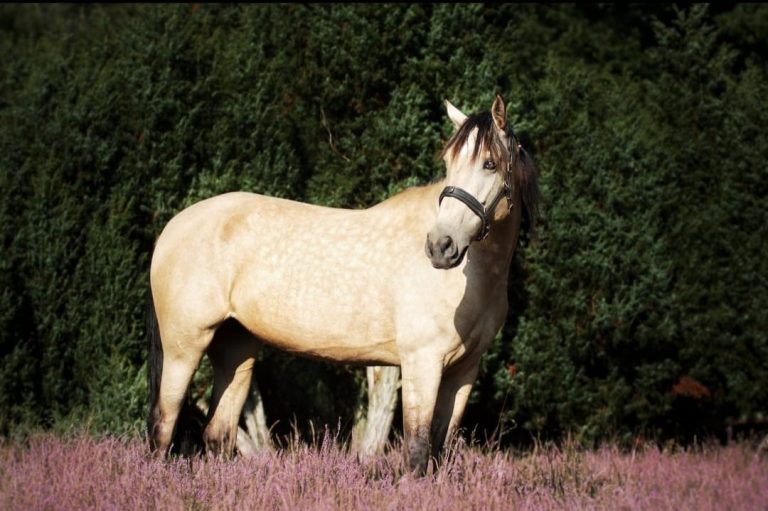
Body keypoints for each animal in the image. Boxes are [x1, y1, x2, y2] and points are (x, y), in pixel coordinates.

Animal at [147, 94, 539, 475]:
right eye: (449, 163)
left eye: (490, 164)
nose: (440, 246)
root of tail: (172, 228)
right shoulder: (422, 362)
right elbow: (416, 451)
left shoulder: (463, 370)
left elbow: (439, 451)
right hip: (184, 347)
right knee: (163, 426)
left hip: (236, 348)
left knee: (218, 434)